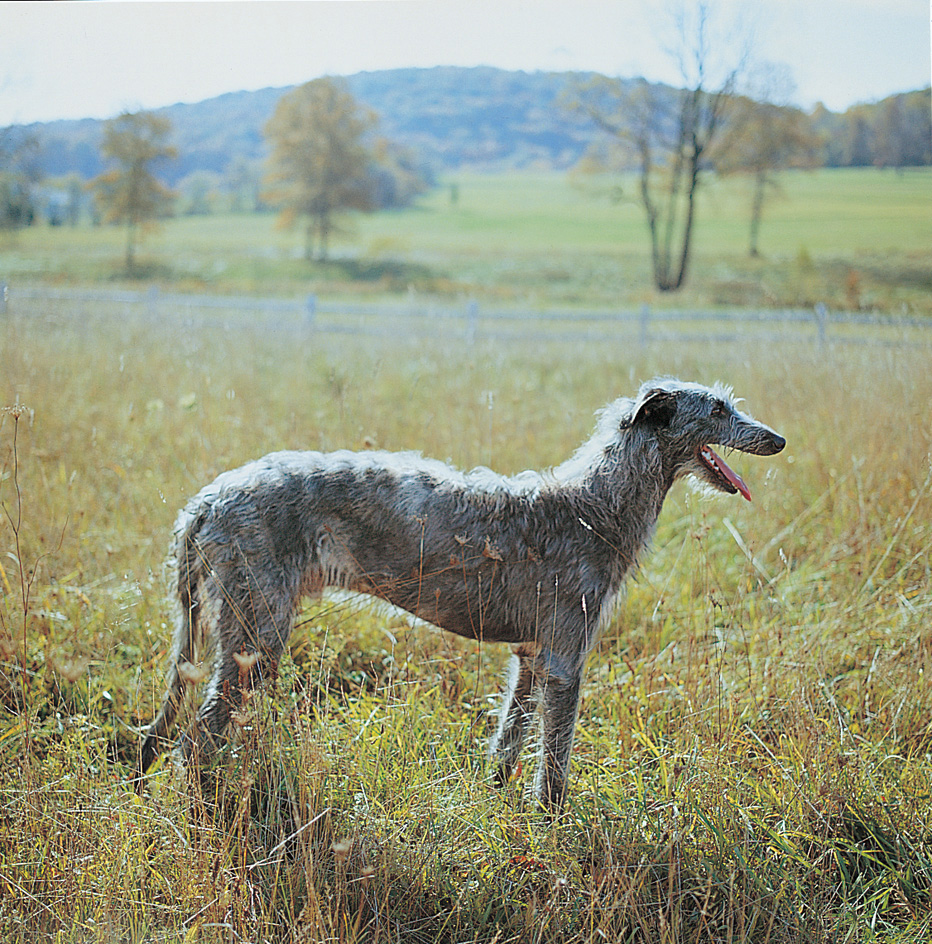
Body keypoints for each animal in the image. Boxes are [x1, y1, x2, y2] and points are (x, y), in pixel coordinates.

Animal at [137, 380, 780, 808]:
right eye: (718, 408)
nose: (777, 438)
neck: (593, 507)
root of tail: (205, 502)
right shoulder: (566, 658)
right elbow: (555, 760)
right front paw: (553, 830)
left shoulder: (533, 655)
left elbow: (510, 739)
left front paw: (498, 806)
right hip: (255, 632)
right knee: (195, 742)